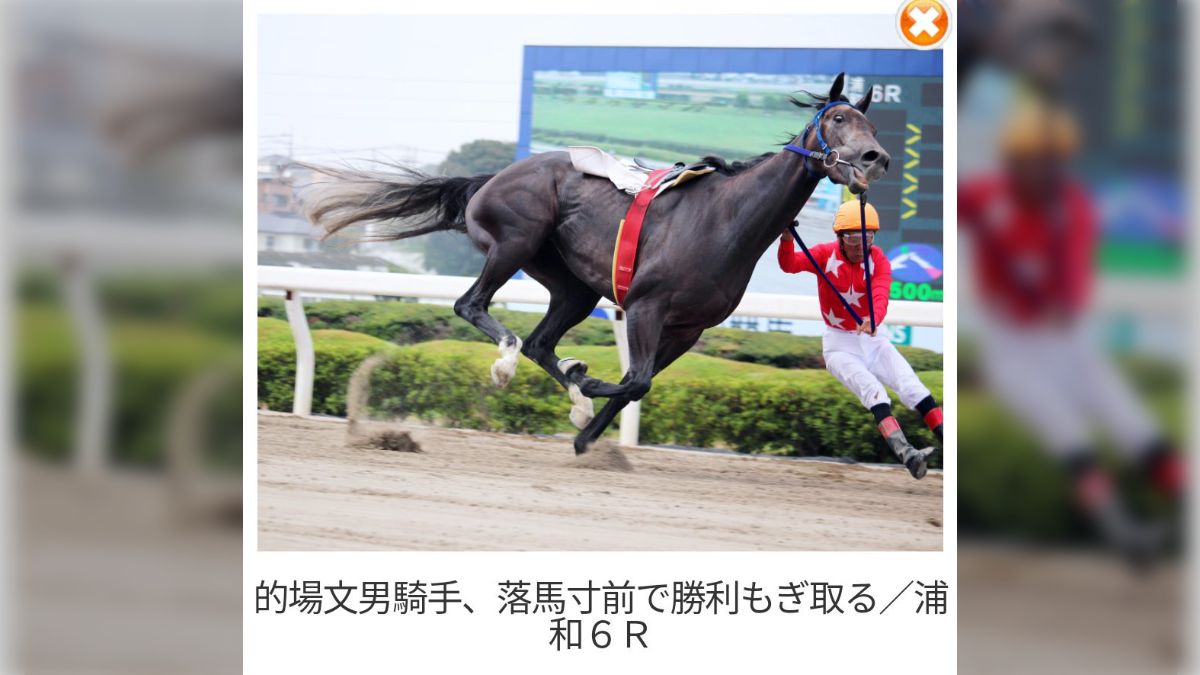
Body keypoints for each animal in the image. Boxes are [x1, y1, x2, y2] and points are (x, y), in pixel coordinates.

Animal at [305, 72, 889, 455]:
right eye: (839, 118)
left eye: (872, 125)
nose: (875, 158)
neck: (726, 220)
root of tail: (490, 177)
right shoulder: (647, 306)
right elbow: (635, 380)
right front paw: (585, 384)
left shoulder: (689, 328)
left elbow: (639, 383)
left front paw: (585, 431)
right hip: (516, 241)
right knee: (474, 307)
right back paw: (508, 362)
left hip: (573, 286)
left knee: (540, 341)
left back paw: (566, 388)